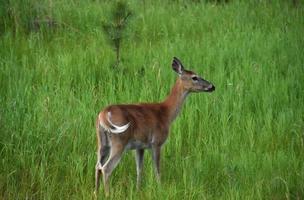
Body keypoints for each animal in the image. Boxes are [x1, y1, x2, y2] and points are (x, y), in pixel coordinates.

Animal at [94, 57, 215, 196]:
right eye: (194, 77)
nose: (212, 86)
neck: (166, 113)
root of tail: (104, 113)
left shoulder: (140, 146)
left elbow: (139, 169)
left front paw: (138, 190)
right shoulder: (157, 142)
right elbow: (157, 169)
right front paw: (160, 188)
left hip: (102, 142)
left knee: (97, 166)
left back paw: (96, 193)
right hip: (119, 141)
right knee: (106, 168)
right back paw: (108, 194)